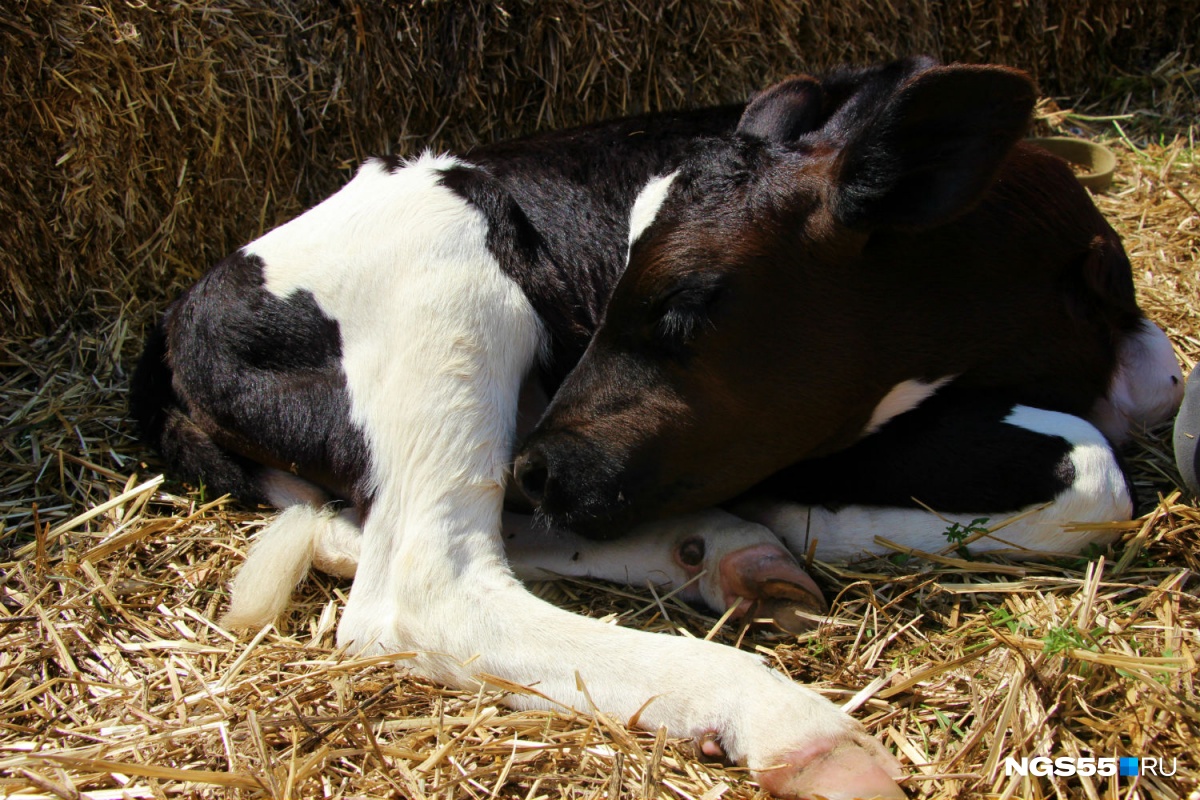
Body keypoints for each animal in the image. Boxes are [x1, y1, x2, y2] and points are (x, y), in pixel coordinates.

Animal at [133, 57, 1180, 800]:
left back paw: (720, 556)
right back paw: (788, 718)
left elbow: (1146, 408)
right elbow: (1097, 470)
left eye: (682, 306)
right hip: (454, 295)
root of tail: (183, 320)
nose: (546, 467)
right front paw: (812, 515)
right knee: (427, 585)